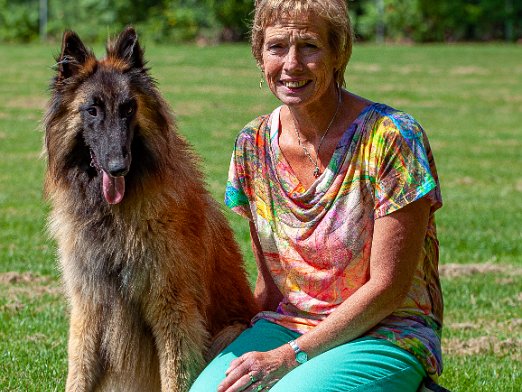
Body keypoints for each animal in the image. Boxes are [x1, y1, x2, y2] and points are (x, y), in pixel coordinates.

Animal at [41, 26, 256, 390]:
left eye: (128, 108)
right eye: (93, 110)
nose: (117, 167)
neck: (112, 216)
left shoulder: (172, 307)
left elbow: (176, 373)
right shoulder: (88, 304)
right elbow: (78, 370)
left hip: (230, 333)